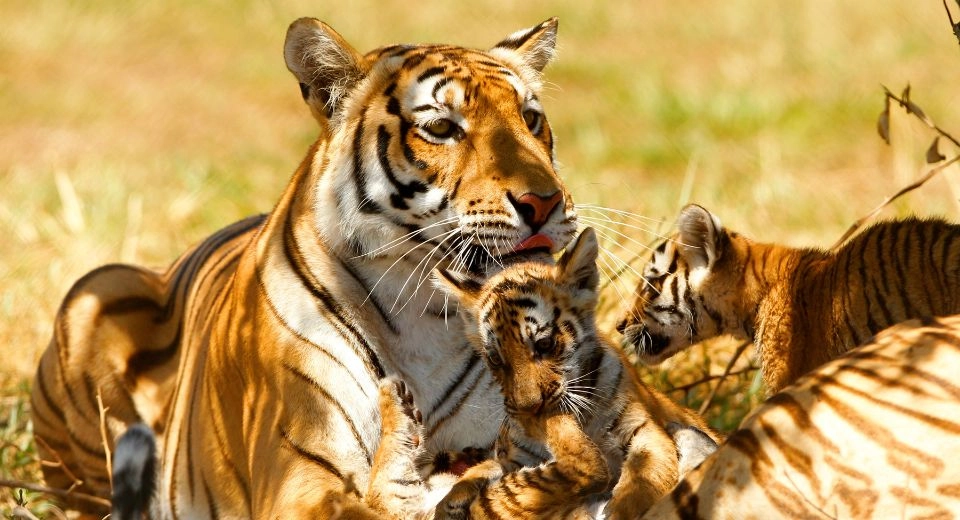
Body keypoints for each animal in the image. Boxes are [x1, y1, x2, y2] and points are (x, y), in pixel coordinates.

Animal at [30, 16, 580, 518]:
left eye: (530, 118)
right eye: (441, 128)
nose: (543, 202)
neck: (428, 315)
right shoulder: (300, 478)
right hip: (98, 290)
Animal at [432, 227, 723, 518]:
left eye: (544, 344)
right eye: (494, 358)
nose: (530, 410)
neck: (583, 420)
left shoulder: (645, 432)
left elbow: (643, 483)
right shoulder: (520, 455)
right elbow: (491, 474)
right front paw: (452, 500)